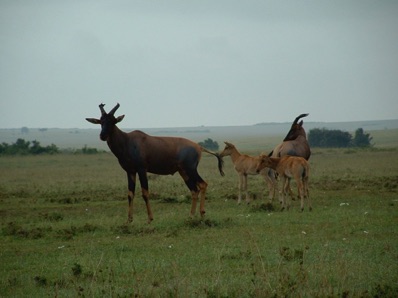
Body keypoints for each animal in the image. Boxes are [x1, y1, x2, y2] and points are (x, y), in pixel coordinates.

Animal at [86, 103, 224, 222]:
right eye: (101, 121)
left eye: (113, 121)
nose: (103, 136)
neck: (128, 141)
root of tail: (199, 147)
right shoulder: (130, 171)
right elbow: (130, 194)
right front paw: (129, 220)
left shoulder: (142, 169)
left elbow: (145, 193)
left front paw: (150, 219)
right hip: (183, 172)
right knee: (194, 190)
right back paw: (191, 216)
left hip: (191, 169)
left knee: (203, 184)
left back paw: (202, 213)